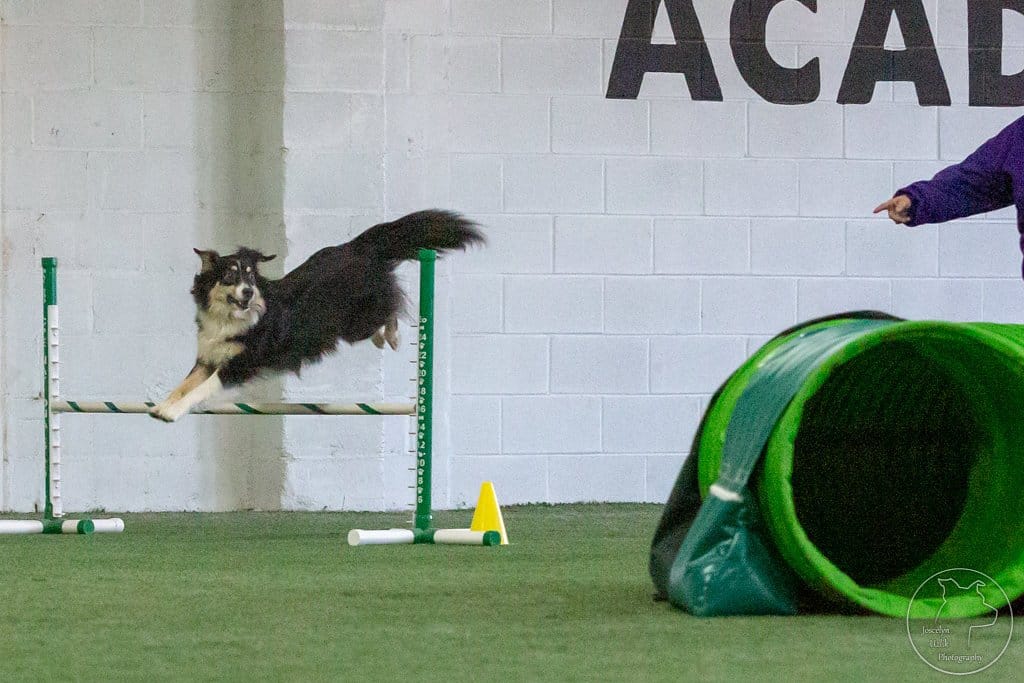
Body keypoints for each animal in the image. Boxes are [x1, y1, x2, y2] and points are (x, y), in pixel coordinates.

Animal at [149, 209, 483, 421]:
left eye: (251, 277)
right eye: (230, 276)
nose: (248, 293)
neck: (228, 318)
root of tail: (355, 247)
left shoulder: (240, 364)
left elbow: (201, 389)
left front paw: (172, 412)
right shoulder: (208, 357)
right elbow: (184, 385)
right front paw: (162, 405)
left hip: (356, 320)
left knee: (390, 307)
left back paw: (393, 336)